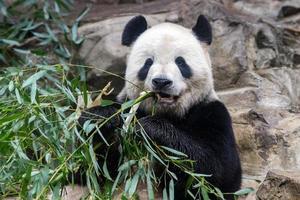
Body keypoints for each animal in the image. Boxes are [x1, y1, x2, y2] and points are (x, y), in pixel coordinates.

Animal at [78, 14, 241, 200]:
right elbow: (87, 169)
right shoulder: (126, 105)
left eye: (181, 62)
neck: (166, 112)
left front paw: (151, 127)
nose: (162, 81)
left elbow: (219, 171)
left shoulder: (211, 112)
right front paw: (101, 118)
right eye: (148, 63)